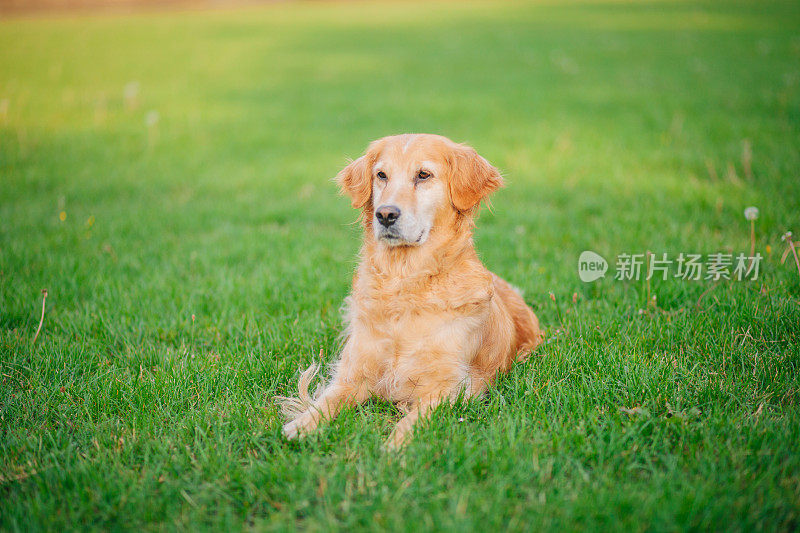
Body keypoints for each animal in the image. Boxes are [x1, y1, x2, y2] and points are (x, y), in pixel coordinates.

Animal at [276, 132, 544, 444]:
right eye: (381, 175)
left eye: (423, 175)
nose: (385, 215)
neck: (404, 282)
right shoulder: (354, 372)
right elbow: (329, 400)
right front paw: (301, 424)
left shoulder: (449, 387)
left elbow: (412, 421)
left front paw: (393, 447)